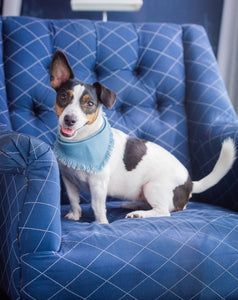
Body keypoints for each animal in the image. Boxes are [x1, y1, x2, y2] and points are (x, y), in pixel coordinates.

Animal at [49, 49, 236, 223]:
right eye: (63, 96)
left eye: (89, 104)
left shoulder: (98, 184)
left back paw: (139, 214)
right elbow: (74, 201)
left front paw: (101, 224)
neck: (81, 141)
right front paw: (75, 215)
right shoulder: (69, 180)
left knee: (163, 211)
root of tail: (190, 182)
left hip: (153, 187)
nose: (69, 120)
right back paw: (133, 205)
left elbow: (97, 207)